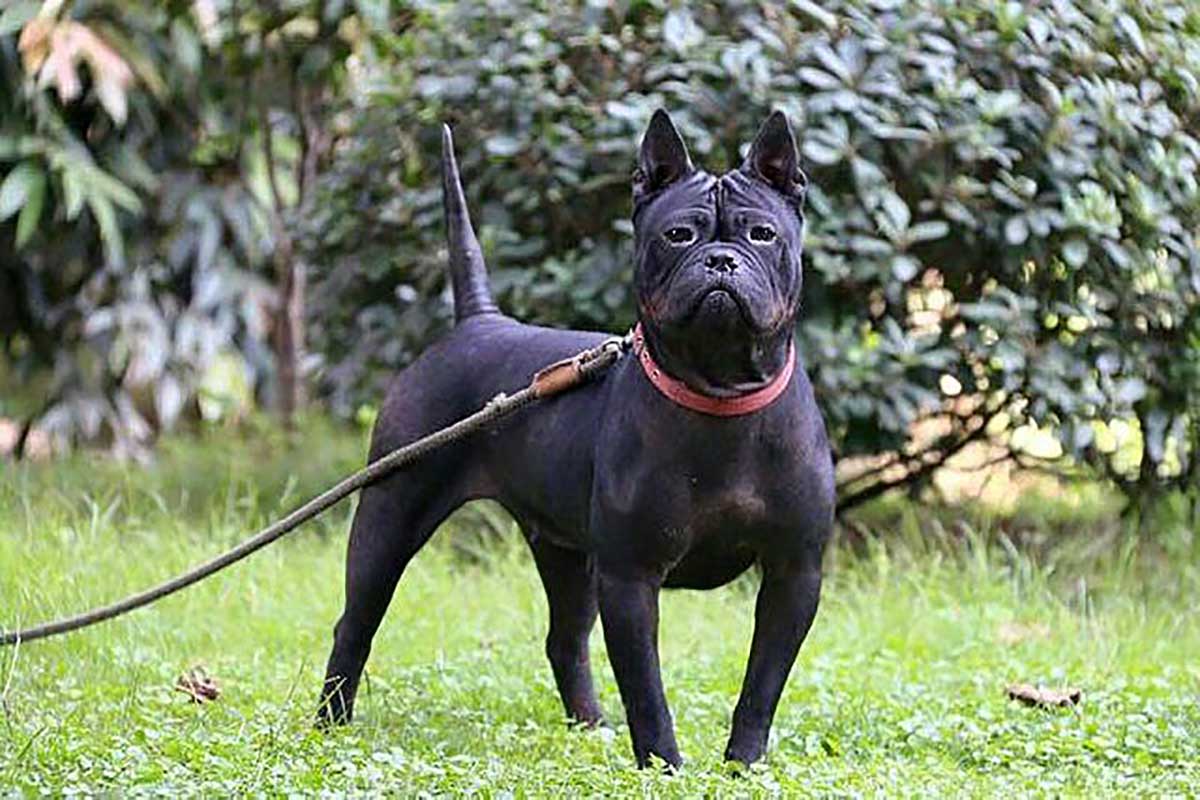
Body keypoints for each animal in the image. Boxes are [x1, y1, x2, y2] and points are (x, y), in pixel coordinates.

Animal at [324, 109, 840, 767]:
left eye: (762, 234)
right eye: (678, 235)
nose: (721, 260)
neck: (721, 391)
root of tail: (478, 322)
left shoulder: (793, 575)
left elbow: (761, 686)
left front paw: (742, 766)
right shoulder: (631, 579)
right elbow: (646, 689)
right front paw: (664, 766)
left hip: (566, 554)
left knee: (564, 639)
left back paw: (591, 728)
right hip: (390, 516)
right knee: (356, 620)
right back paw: (329, 724)